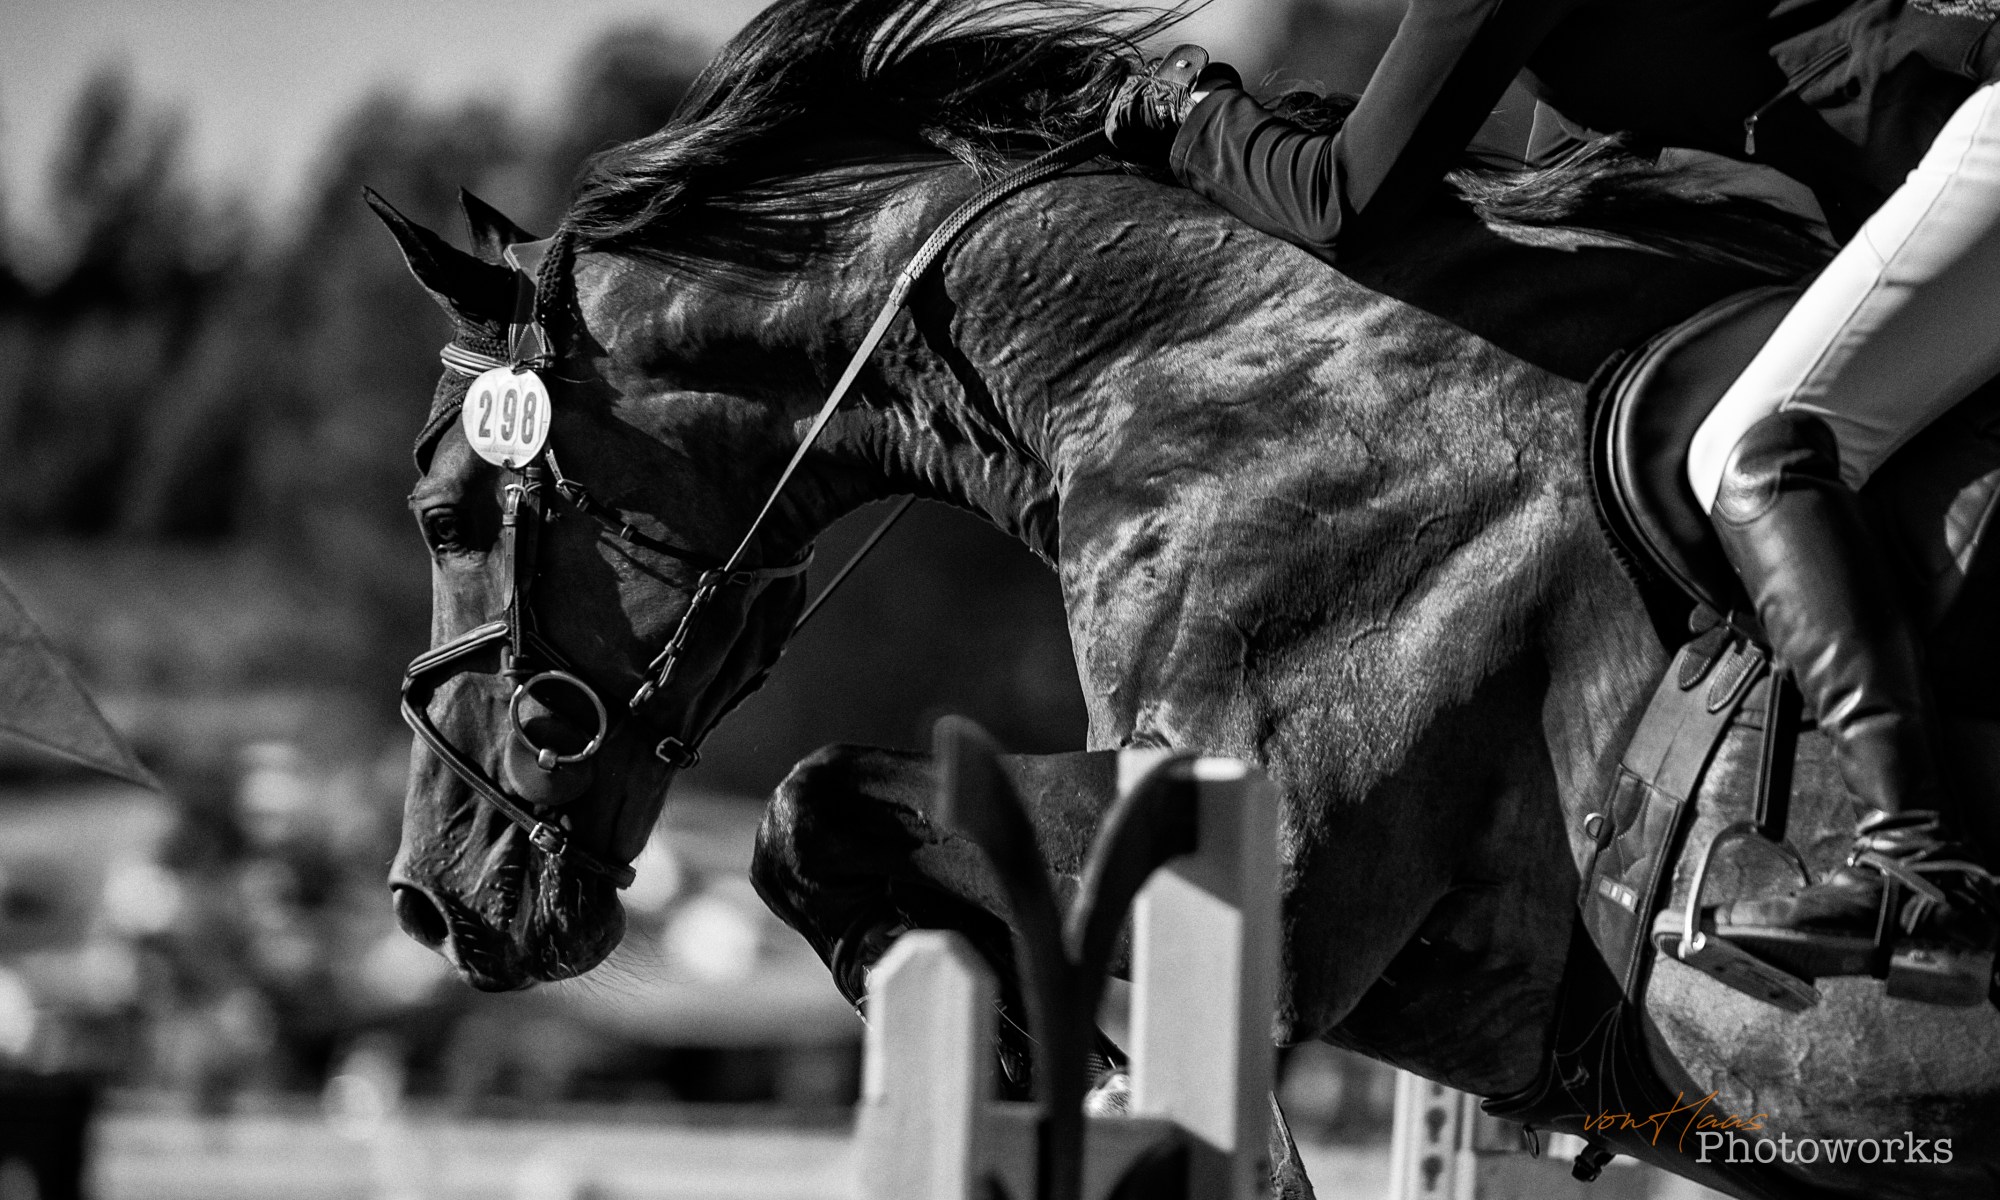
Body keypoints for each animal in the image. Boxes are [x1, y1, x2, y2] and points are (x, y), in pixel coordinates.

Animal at [377, 1, 2000, 1195]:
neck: (1218, 365)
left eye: (445, 514)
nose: (432, 900)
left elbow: (811, 798)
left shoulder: (1261, 845)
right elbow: (822, 818)